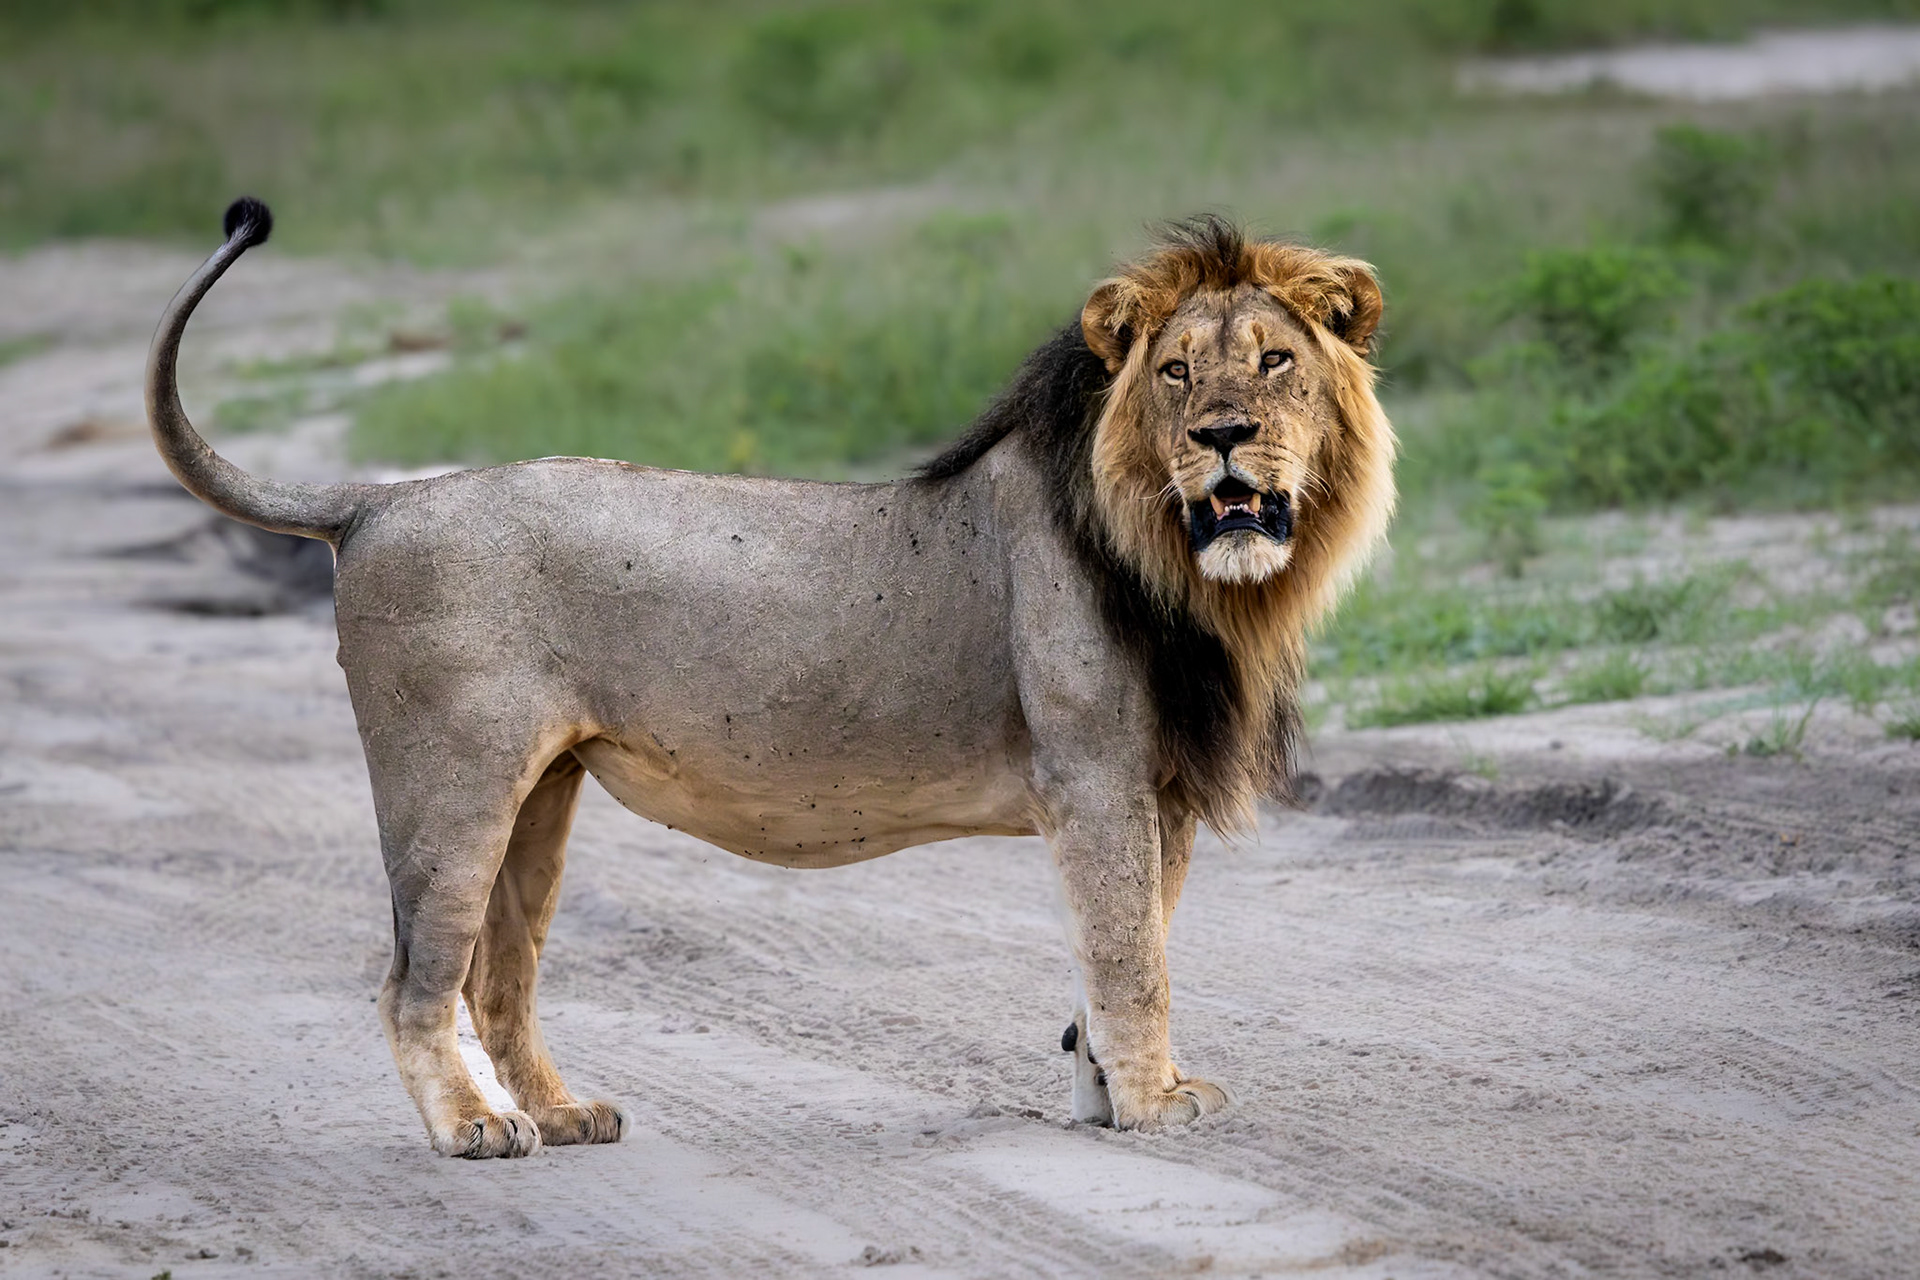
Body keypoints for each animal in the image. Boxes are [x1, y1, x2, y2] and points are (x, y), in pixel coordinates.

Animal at [146, 199, 1394, 1157]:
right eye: (1177, 371)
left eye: (1275, 360)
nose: (1225, 435)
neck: (1192, 569)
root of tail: (374, 499)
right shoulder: (1093, 776)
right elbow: (1134, 956)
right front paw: (1151, 1105)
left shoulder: (1154, 788)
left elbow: (1119, 953)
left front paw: (1100, 1093)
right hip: (451, 781)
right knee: (417, 975)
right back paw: (475, 1127)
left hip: (540, 790)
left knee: (501, 979)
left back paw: (564, 1113)